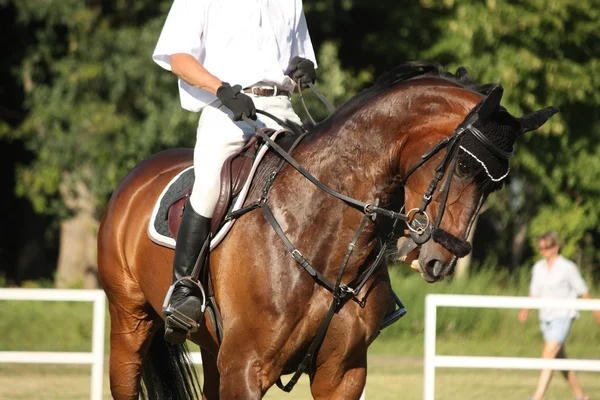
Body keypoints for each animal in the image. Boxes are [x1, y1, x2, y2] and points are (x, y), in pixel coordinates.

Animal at [97, 61, 556, 396]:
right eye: (461, 166)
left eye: (496, 186)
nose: (440, 260)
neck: (323, 231)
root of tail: (136, 176)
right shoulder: (245, 367)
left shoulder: (343, 373)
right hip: (129, 325)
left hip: (212, 348)